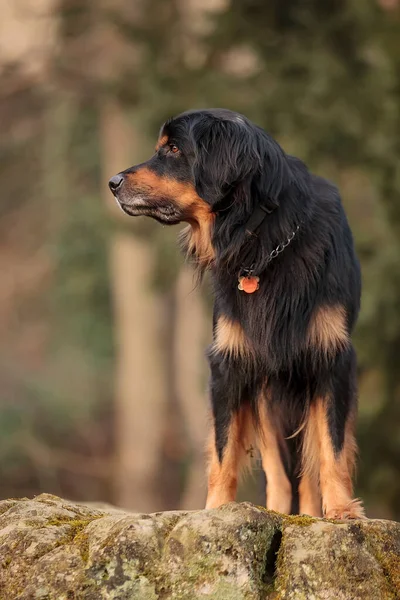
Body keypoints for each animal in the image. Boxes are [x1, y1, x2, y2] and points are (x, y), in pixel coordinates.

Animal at [109, 109, 366, 520]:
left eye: (174, 149)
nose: (113, 183)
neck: (263, 241)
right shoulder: (230, 363)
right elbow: (223, 450)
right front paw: (216, 511)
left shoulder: (331, 357)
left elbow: (333, 446)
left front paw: (341, 509)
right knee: (278, 475)